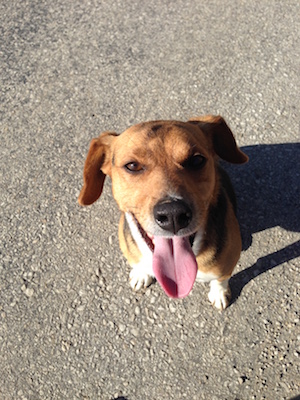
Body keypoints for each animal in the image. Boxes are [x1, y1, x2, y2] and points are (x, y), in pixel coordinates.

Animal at [78, 115, 248, 310]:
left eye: (197, 160)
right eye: (132, 165)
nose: (173, 214)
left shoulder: (225, 267)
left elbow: (220, 280)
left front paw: (218, 294)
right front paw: (141, 274)